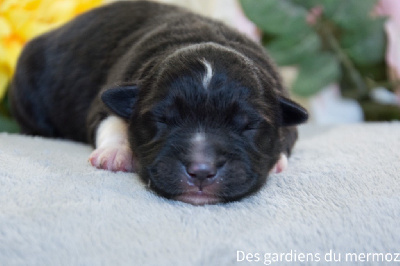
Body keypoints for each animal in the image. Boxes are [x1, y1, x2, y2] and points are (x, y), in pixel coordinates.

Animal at [10, 0, 310, 205]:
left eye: (248, 126)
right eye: (162, 120)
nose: (201, 171)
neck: (202, 38)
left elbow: (287, 135)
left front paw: (278, 159)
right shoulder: (111, 94)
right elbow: (112, 120)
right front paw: (116, 153)